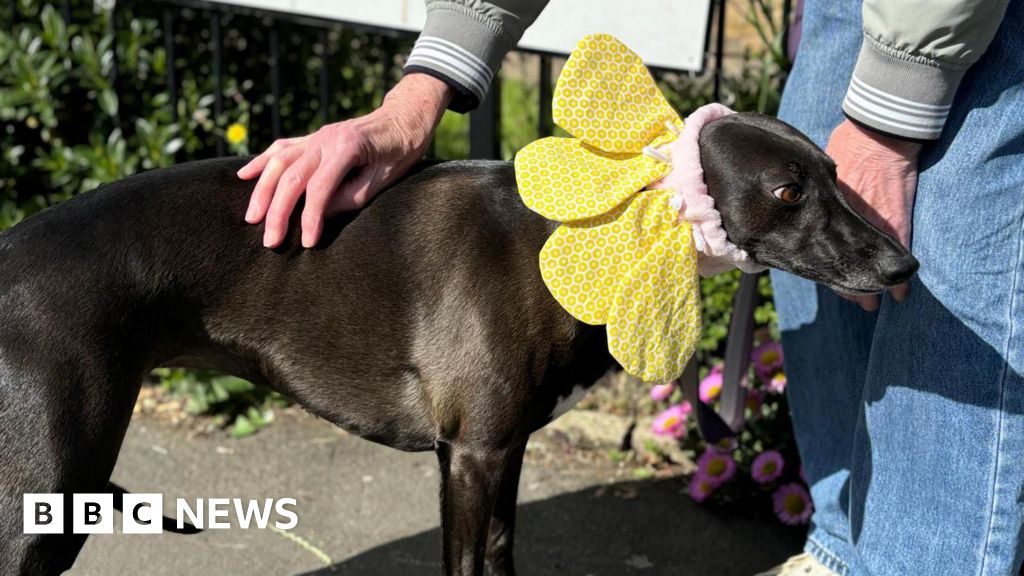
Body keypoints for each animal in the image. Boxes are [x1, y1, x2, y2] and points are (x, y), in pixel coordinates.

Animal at [0, 113, 913, 573]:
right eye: (788, 190)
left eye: (836, 172)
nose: (903, 263)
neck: (576, 238)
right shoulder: (475, 456)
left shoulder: (489, 458)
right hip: (44, 495)